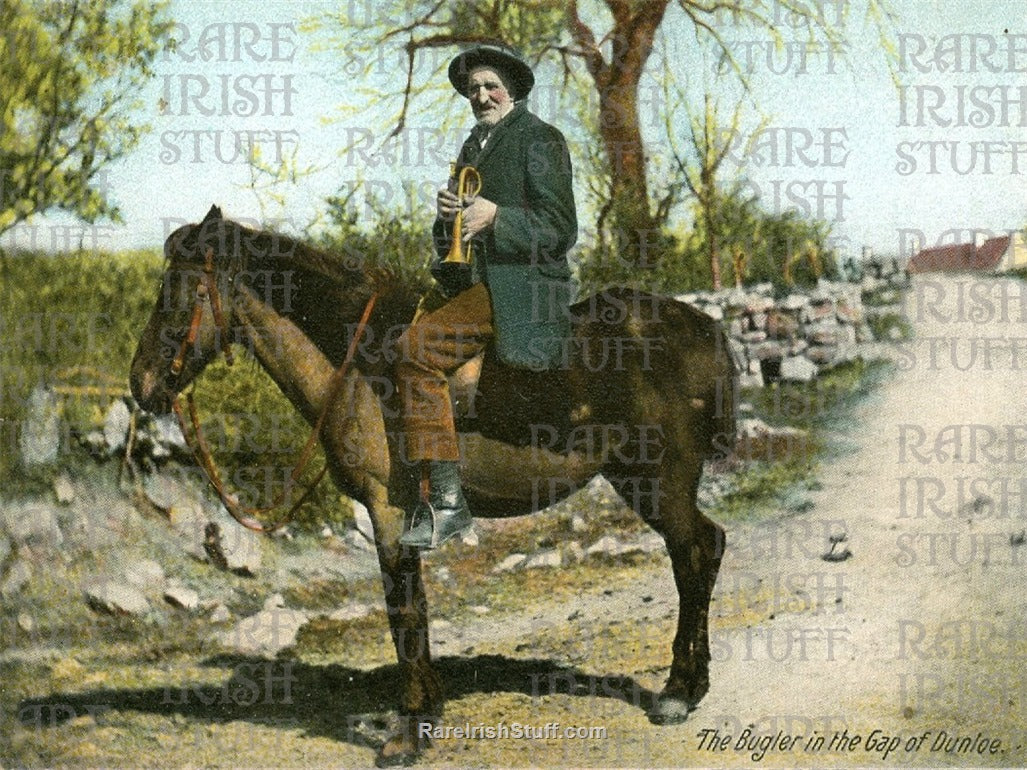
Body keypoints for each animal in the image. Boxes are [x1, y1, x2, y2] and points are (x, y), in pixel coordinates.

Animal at [128, 208, 739, 767]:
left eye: (183, 288)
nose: (142, 383)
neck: (360, 359)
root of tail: (704, 328)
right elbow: (411, 608)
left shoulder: (388, 510)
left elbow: (404, 610)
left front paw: (412, 726)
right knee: (700, 552)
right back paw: (690, 686)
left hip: (658, 481)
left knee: (695, 552)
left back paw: (678, 692)